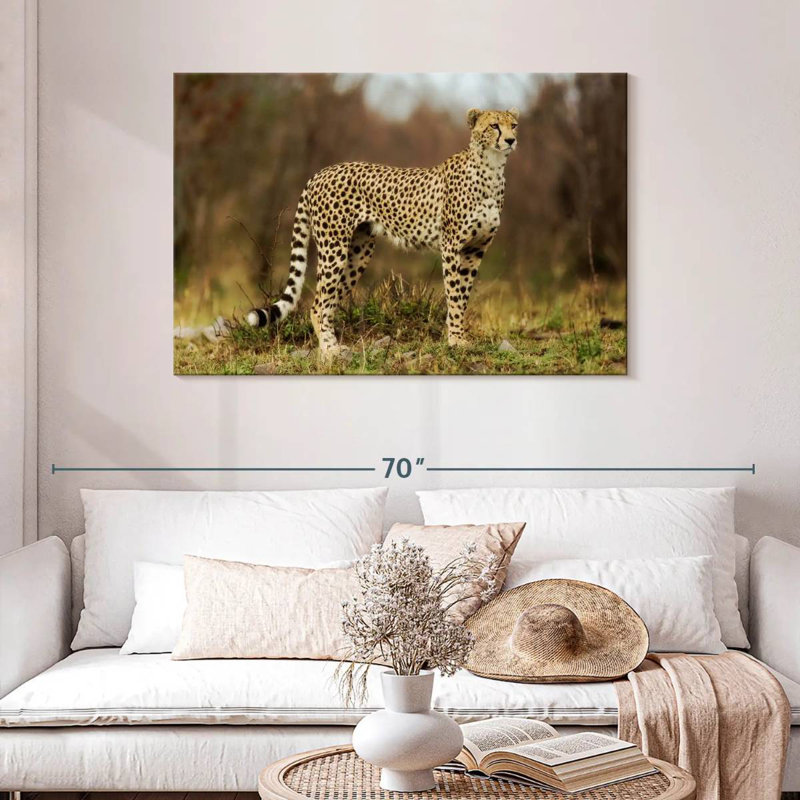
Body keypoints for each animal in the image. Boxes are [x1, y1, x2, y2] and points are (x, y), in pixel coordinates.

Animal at [246, 107, 519, 355]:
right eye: (494, 125)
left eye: (513, 125)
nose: (510, 140)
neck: (492, 169)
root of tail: (322, 172)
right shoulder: (452, 247)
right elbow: (453, 294)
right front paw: (454, 340)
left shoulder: (475, 250)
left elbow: (463, 296)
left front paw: (460, 338)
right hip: (333, 249)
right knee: (319, 303)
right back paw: (329, 350)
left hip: (359, 253)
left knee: (327, 301)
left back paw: (333, 344)